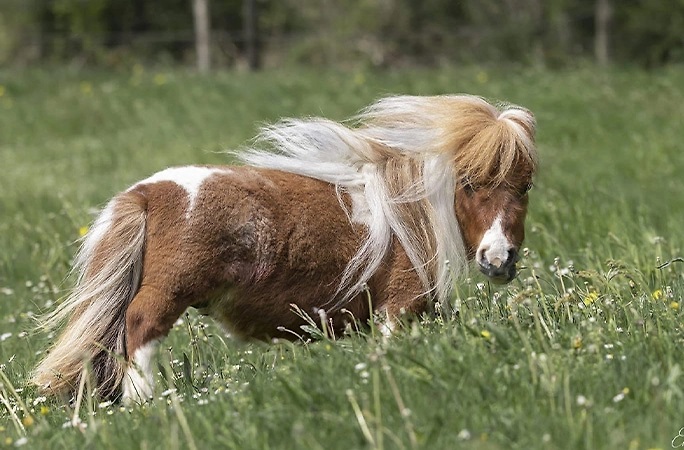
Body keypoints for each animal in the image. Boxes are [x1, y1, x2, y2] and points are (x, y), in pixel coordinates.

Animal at [31, 94, 537, 404]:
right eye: (468, 183)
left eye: (526, 186)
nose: (499, 258)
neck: (406, 216)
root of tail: (146, 194)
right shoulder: (397, 310)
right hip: (165, 296)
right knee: (139, 333)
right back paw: (148, 405)